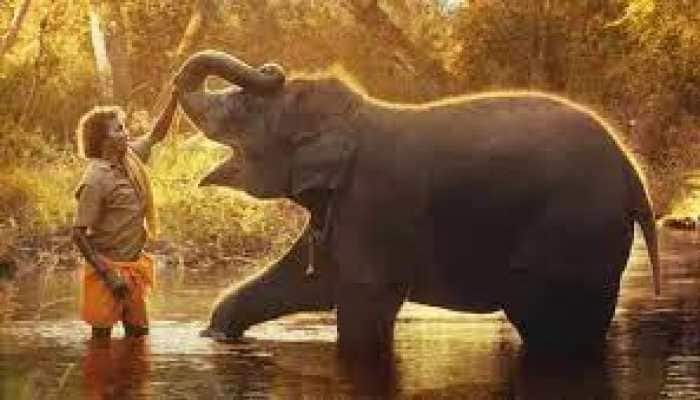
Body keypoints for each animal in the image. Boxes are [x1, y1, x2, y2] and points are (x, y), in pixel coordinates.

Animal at [172, 49, 661, 354]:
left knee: (553, 327)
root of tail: (633, 176)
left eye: (245, 109)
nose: (272, 67)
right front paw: (213, 333)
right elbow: (307, 282)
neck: (354, 116)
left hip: (572, 232)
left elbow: (363, 302)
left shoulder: (373, 203)